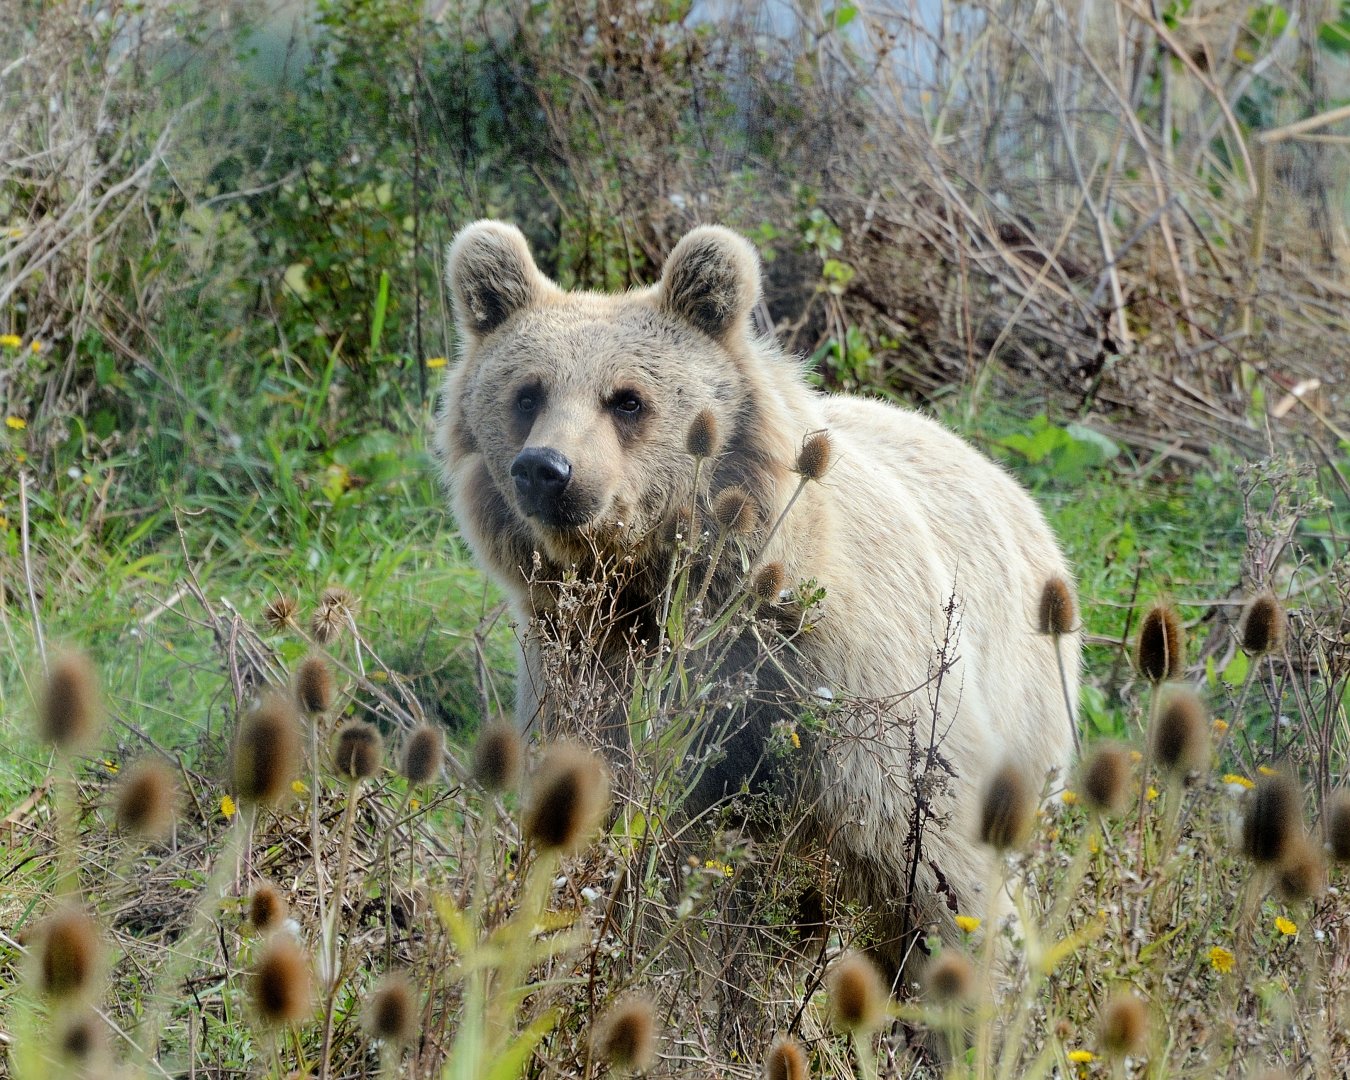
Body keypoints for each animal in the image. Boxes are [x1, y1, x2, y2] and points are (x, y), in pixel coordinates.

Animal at [436, 219, 1079, 981]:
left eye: (627, 399)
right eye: (527, 393)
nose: (547, 470)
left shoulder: (845, 685)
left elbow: (931, 860)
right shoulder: (590, 681)